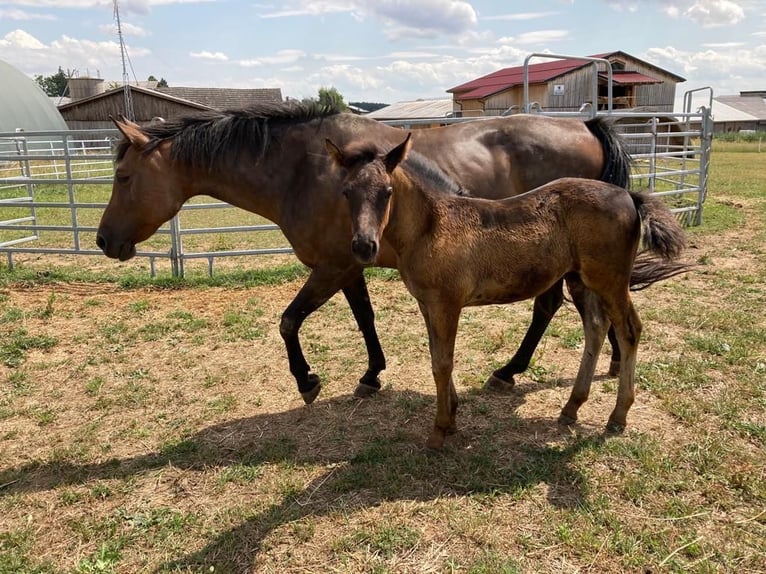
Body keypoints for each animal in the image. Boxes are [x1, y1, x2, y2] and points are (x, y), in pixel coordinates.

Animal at [96, 101, 675, 405]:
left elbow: (288, 321)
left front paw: (307, 380)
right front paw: (372, 373)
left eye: (122, 177)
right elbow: (365, 318)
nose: (103, 241)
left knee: (562, 307)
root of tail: (585, 124)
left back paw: (520, 370)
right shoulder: (349, 264)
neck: (304, 168)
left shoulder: (331, 267)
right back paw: (594, 362)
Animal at [326, 133, 687, 449]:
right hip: (581, 280)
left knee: (629, 331)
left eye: (387, 191)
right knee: (596, 328)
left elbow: (442, 363)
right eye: (346, 192)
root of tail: (629, 196)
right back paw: (571, 407)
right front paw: (452, 416)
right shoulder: (427, 304)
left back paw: (617, 416)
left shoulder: (446, 304)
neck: (433, 227)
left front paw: (440, 431)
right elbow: (436, 357)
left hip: (610, 281)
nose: (364, 246)